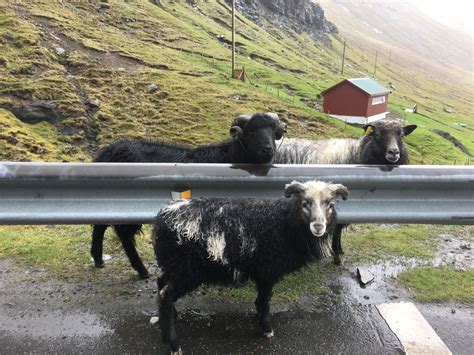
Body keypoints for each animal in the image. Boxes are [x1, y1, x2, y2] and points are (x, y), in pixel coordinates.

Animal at [91, 112, 286, 280]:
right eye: (251, 130)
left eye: (272, 130)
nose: (267, 150)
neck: (230, 157)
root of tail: (107, 152)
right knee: (124, 234)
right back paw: (141, 269)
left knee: (100, 225)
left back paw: (98, 259)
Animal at [272, 119, 416, 264]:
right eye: (377, 135)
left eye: (402, 136)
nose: (394, 152)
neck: (355, 155)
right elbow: (337, 232)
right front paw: (336, 255)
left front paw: (339, 251)